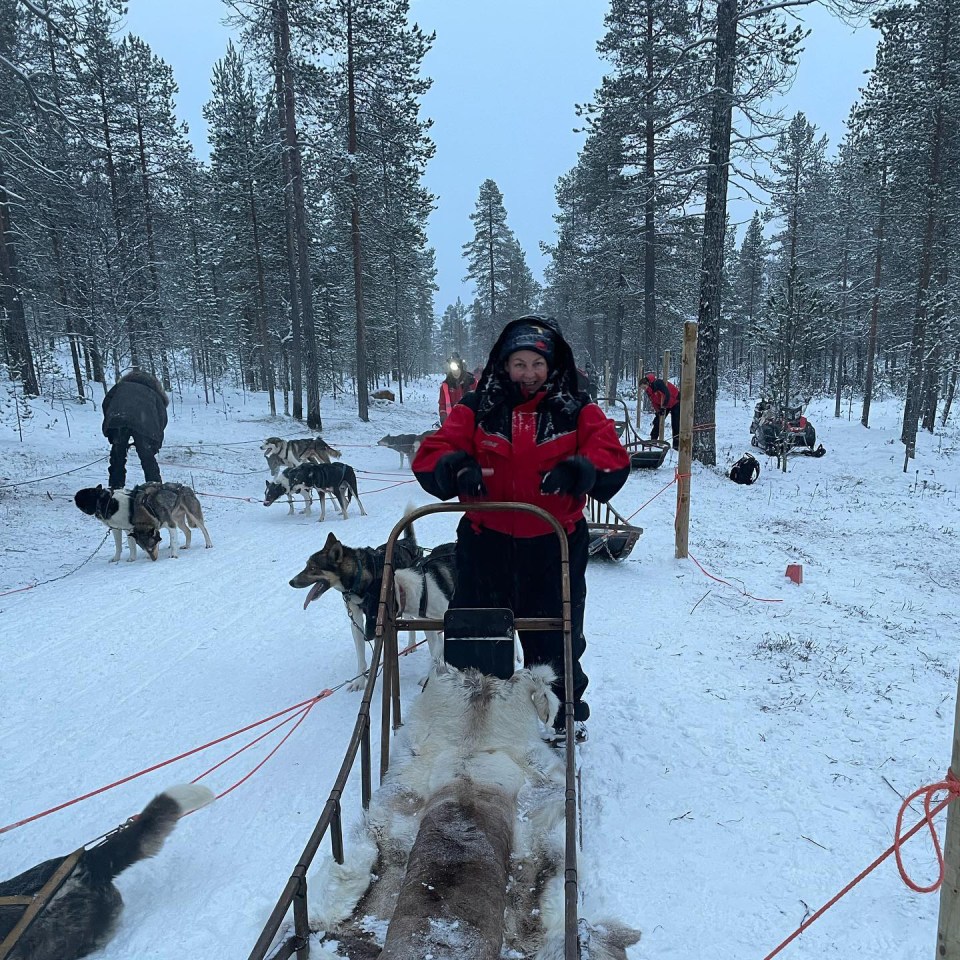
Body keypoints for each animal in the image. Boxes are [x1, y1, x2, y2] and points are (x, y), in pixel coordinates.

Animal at [288, 524, 424, 688]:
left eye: (313, 568)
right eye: (306, 566)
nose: (291, 582)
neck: (358, 576)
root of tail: (408, 541)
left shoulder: (375, 619)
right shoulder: (357, 619)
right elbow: (361, 656)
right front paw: (359, 681)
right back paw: (411, 645)